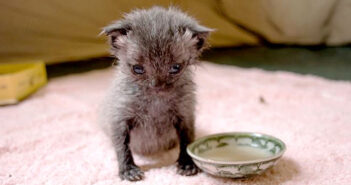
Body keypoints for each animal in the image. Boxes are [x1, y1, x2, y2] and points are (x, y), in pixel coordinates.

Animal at [100, 6, 213, 181]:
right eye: (137, 69)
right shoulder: (119, 117)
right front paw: (128, 169)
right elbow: (122, 145)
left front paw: (187, 164)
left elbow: (187, 139)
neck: (155, 101)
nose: (157, 86)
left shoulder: (185, 114)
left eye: (176, 68)